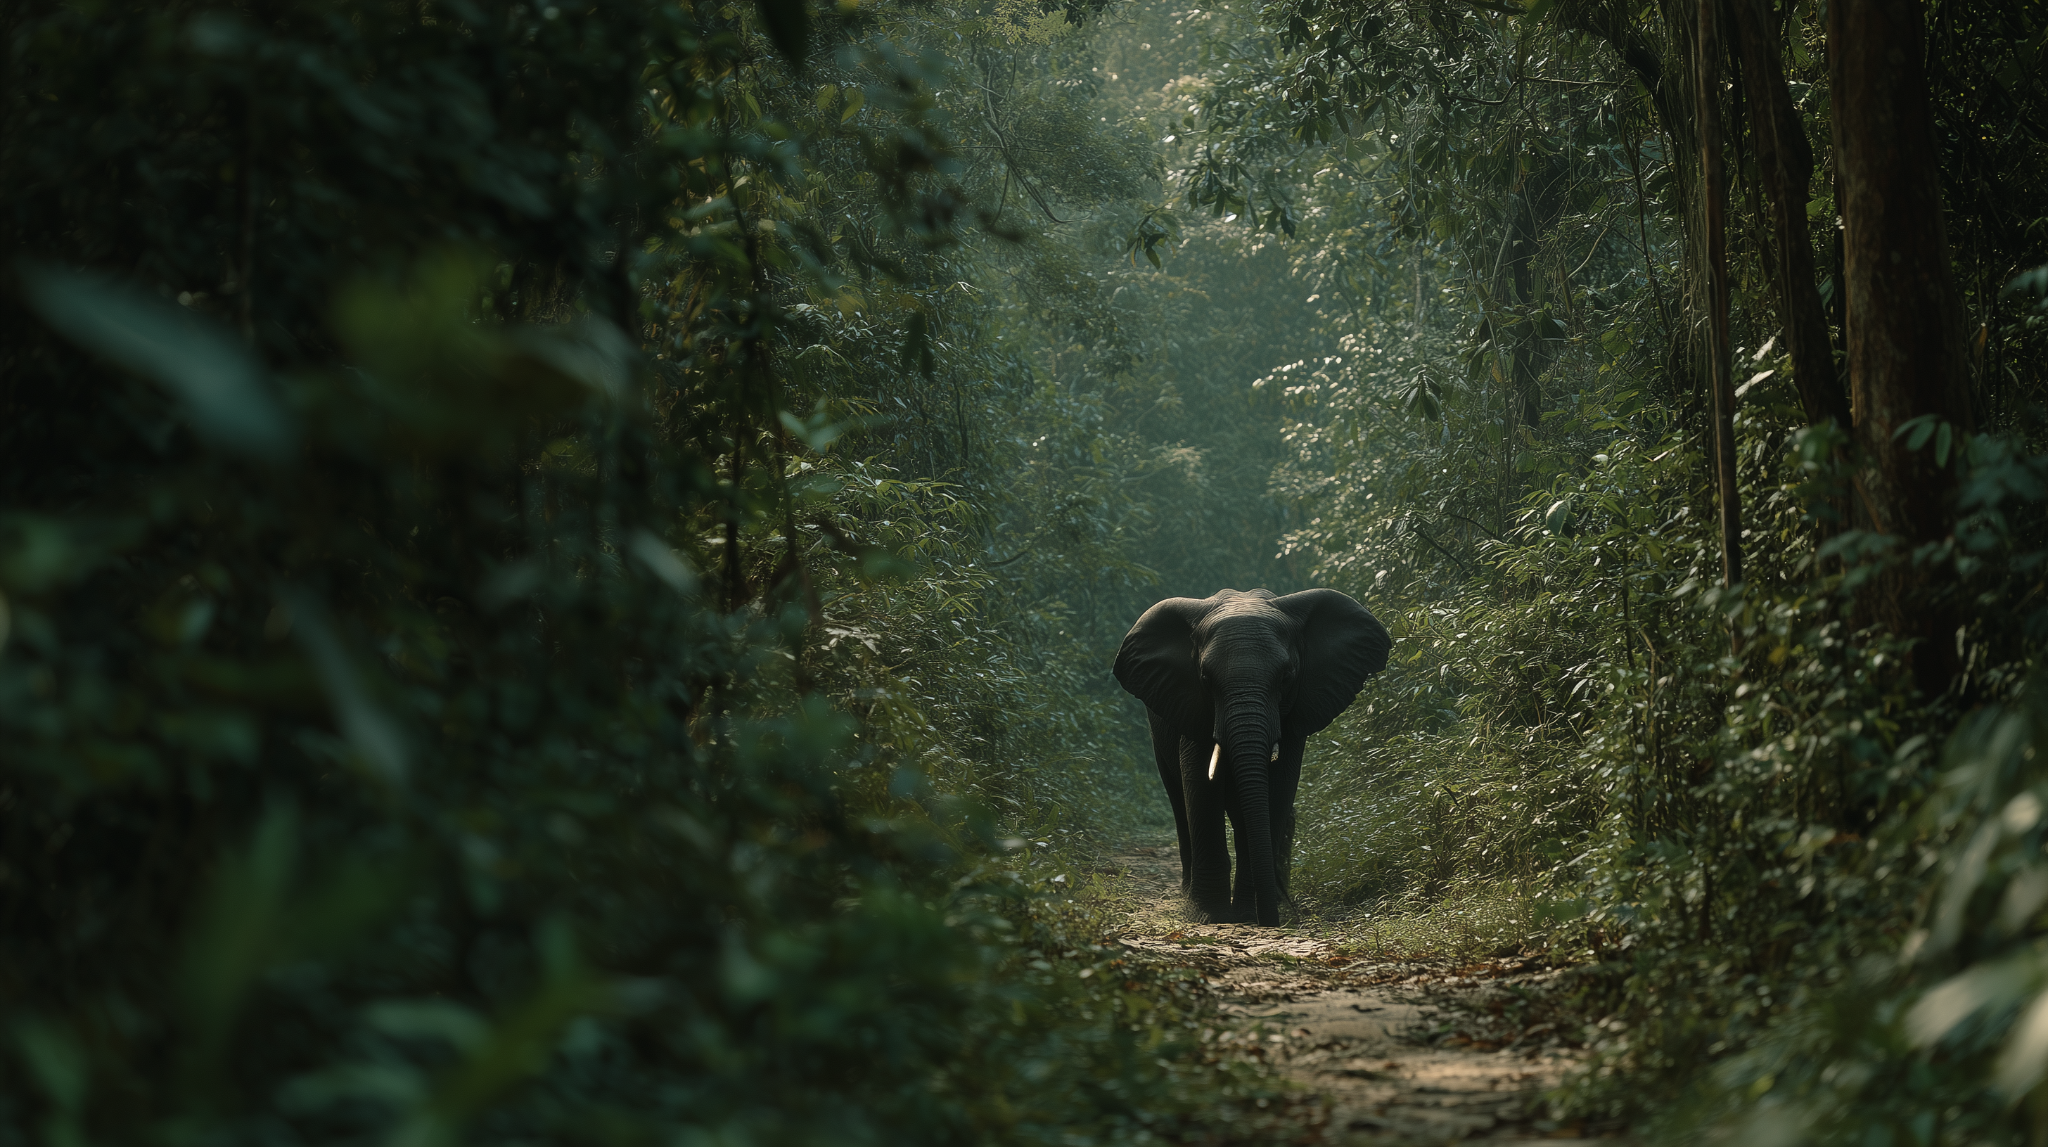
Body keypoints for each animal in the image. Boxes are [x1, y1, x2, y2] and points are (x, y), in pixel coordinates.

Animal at [1113, 588, 1390, 926]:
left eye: (1286, 677)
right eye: (1205, 678)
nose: (1273, 920)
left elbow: (1278, 790)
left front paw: (1247, 915)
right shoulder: (1192, 708)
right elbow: (1201, 789)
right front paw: (1211, 917)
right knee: (1179, 801)